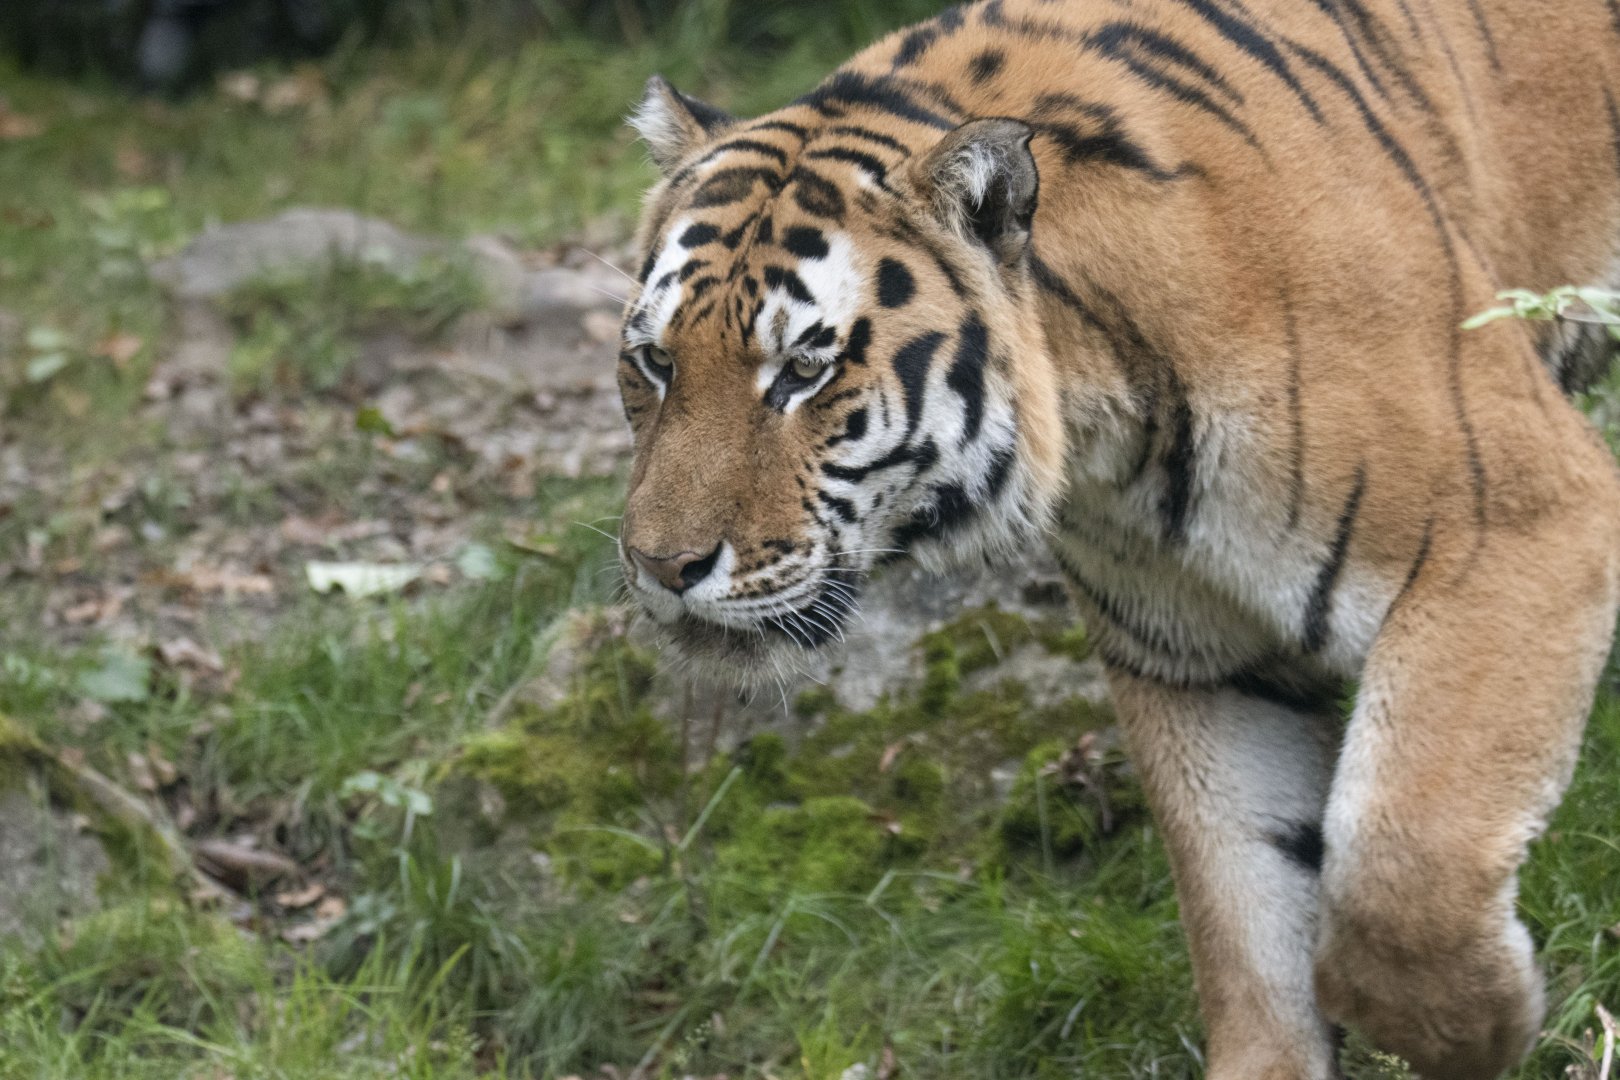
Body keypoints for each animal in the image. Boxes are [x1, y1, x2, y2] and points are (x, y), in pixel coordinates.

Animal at [611, 1, 1620, 1076]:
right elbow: (1246, 904)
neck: (1110, 420)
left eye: (804, 370)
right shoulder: (1193, 654)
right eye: (655, 361)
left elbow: (1403, 867)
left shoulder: (1521, 524)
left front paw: (1485, 1027)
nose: (661, 566)